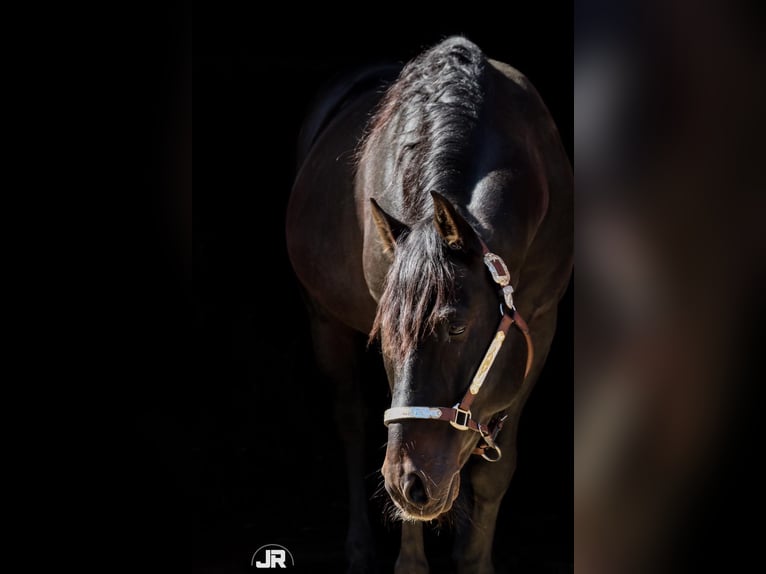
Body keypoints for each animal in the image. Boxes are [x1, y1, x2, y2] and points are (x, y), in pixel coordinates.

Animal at [284, 37, 572, 574]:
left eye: (456, 328)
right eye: (386, 334)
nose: (409, 483)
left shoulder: (539, 329)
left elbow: (494, 470)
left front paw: (474, 559)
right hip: (322, 319)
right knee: (351, 421)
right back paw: (360, 547)